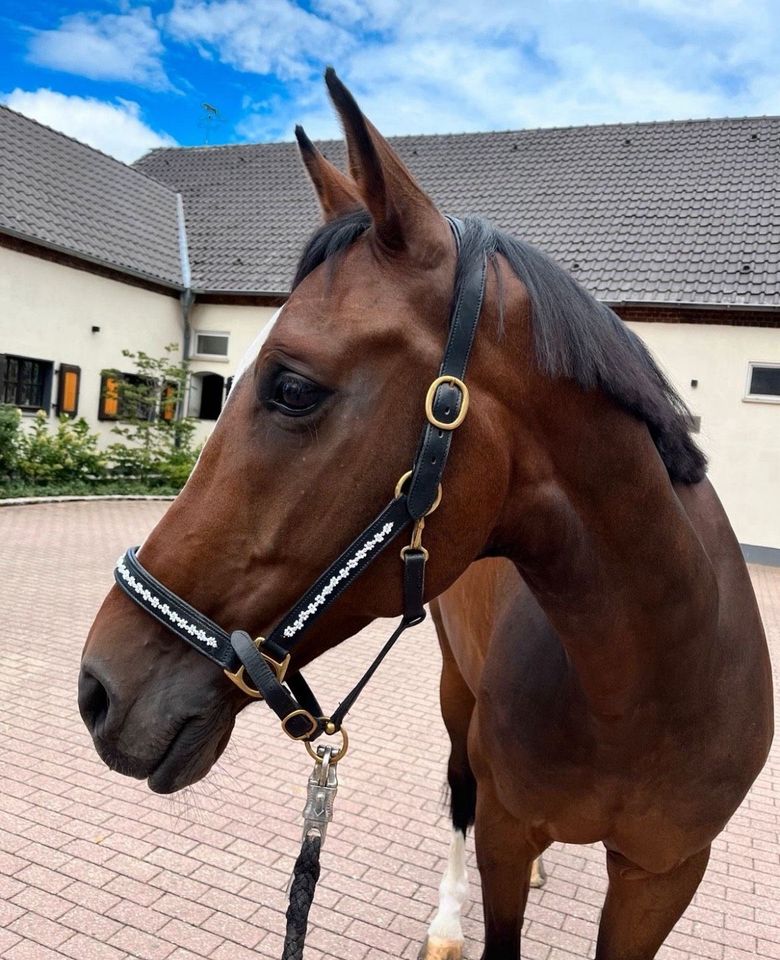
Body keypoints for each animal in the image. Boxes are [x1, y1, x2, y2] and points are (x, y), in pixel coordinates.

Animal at [79, 73, 772, 960]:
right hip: (454, 694)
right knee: (459, 792)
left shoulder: (665, 876)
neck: (646, 686)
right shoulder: (509, 836)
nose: (97, 691)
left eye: (292, 387)